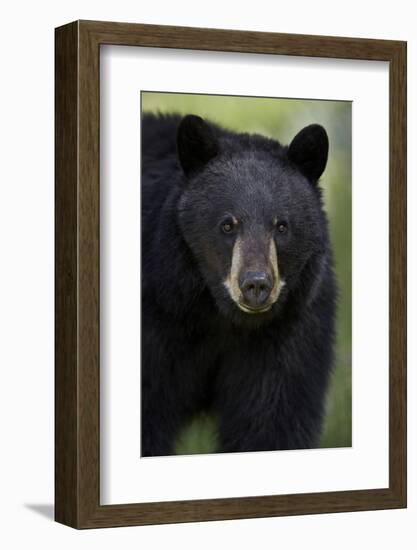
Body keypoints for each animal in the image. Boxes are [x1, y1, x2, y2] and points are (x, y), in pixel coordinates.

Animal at [140, 112, 334, 458]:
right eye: (228, 225)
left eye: (281, 226)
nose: (256, 285)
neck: (219, 316)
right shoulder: (157, 314)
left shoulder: (292, 328)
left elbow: (272, 419)